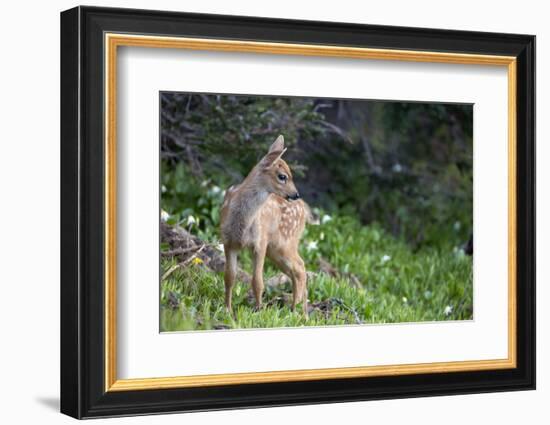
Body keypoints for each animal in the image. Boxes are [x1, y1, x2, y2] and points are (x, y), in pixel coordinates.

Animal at [222, 135, 312, 314]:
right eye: (282, 176)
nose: (296, 194)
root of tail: (304, 209)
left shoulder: (260, 242)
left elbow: (257, 281)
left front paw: (258, 310)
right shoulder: (228, 242)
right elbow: (229, 277)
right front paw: (227, 309)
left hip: (285, 242)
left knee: (300, 267)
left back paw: (297, 311)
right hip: (276, 249)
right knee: (297, 270)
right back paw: (300, 311)